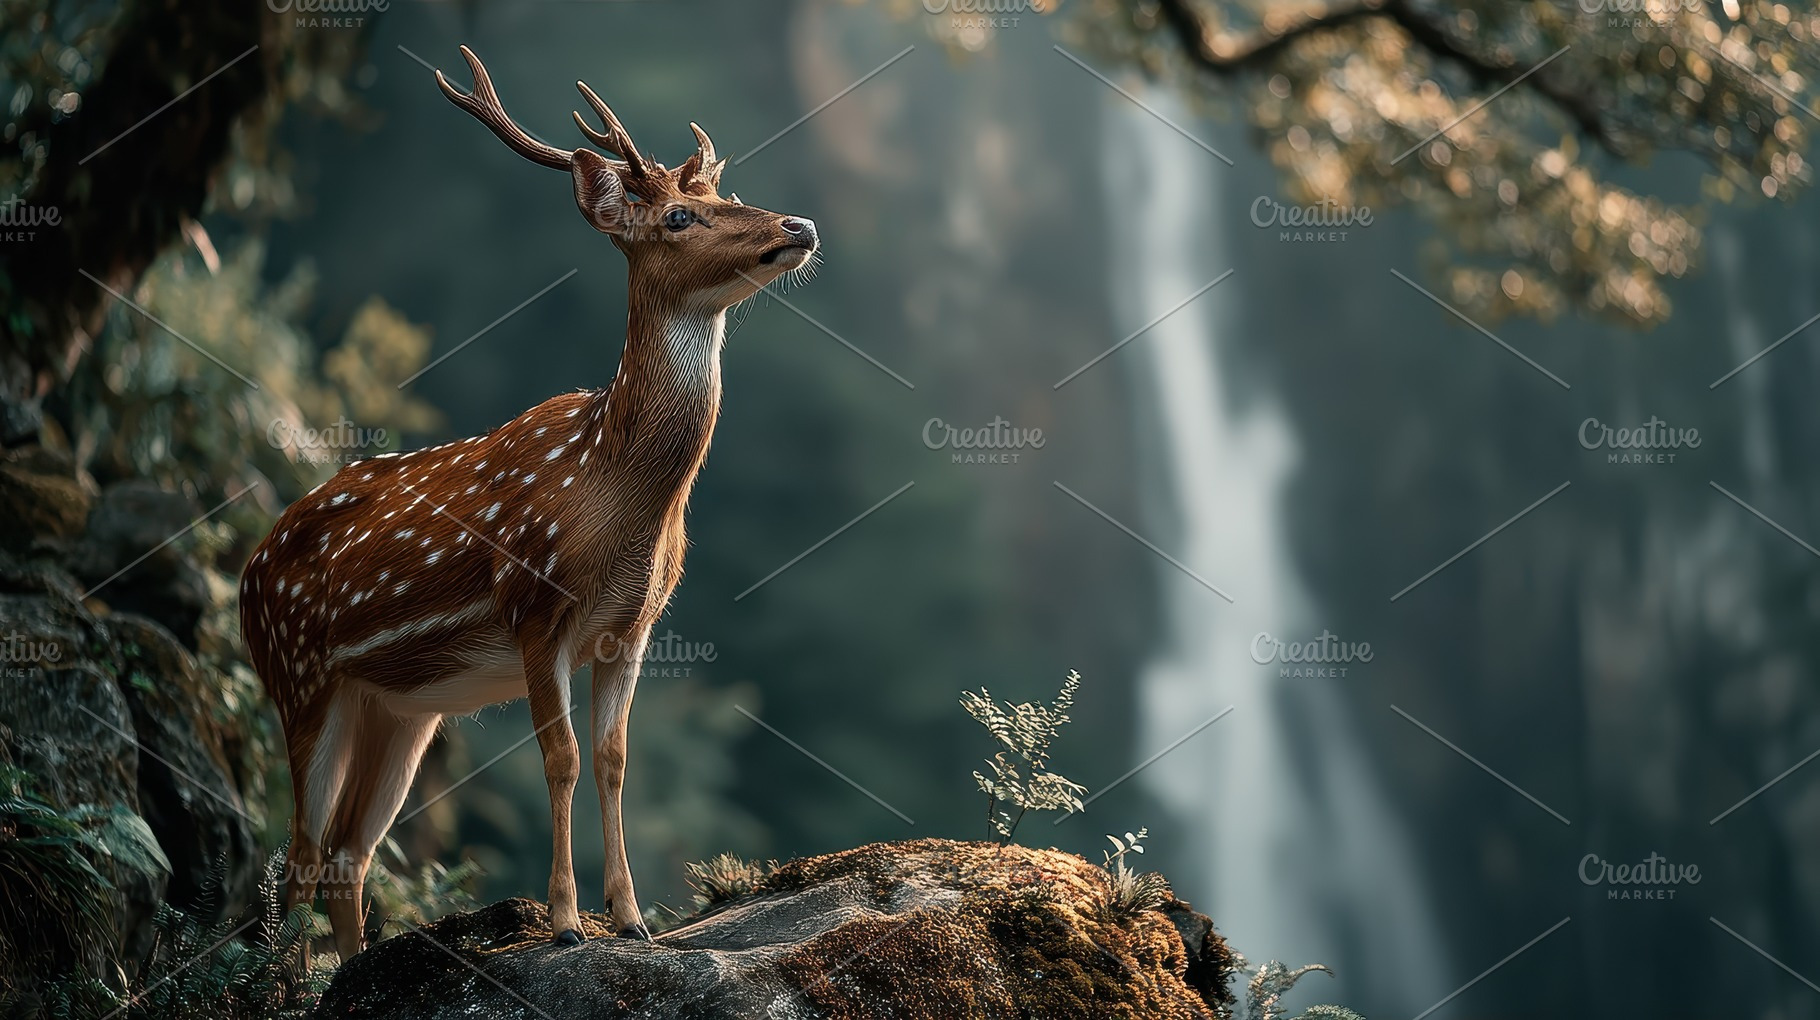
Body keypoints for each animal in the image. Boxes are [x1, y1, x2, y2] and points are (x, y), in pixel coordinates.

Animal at [239, 45, 819, 961]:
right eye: (679, 218)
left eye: (729, 195)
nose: (797, 228)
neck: (614, 496)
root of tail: (245, 573)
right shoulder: (534, 604)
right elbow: (563, 758)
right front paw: (566, 924)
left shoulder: (632, 625)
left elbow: (614, 759)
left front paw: (633, 918)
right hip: (298, 673)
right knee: (297, 852)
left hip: (399, 708)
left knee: (345, 853)